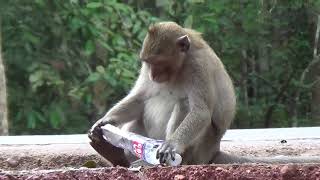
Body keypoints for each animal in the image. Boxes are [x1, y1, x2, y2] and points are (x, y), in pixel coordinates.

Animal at [88, 21, 320, 166]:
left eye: (159, 63)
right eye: (147, 62)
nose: (153, 74)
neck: (180, 66)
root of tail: (214, 150)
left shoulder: (198, 66)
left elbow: (200, 112)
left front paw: (172, 145)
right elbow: (140, 97)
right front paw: (104, 123)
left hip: (201, 147)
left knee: (184, 104)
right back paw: (117, 154)